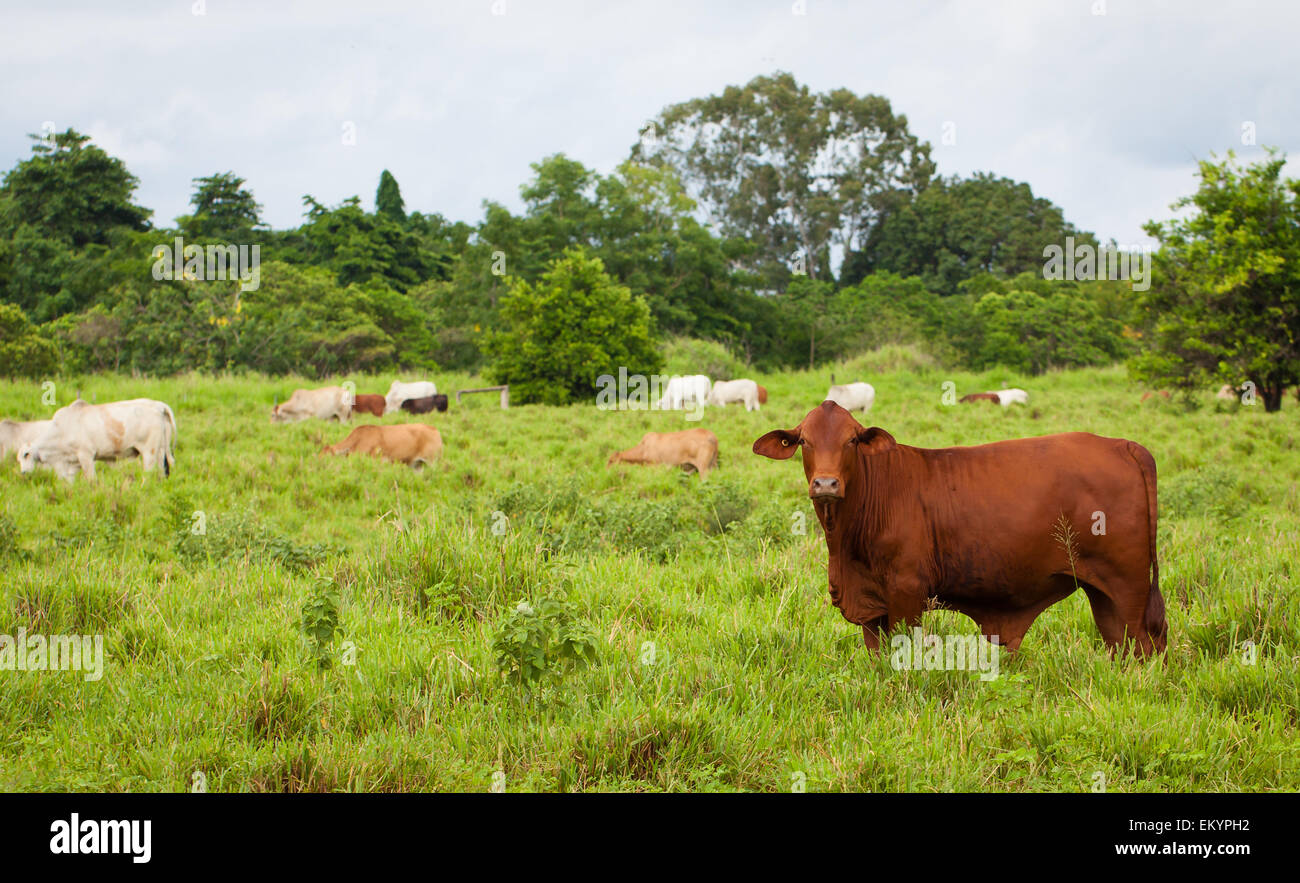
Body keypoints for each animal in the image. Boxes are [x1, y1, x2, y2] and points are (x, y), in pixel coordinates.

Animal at [18, 398, 176, 482]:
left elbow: (91, 480)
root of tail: (158, 405)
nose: (23, 472)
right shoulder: (72, 464)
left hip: (149, 452)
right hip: (161, 451)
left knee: (148, 474)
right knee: (162, 471)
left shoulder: (86, 456)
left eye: (26, 455)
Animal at [753, 402, 1166, 656]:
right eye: (804, 440)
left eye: (851, 440)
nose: (826, 483)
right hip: (1103, 594)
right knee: (1122, 645)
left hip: (1128, 586)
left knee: (1145, 646)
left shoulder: (907, 592)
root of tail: (1123, 444)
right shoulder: (870, 606)